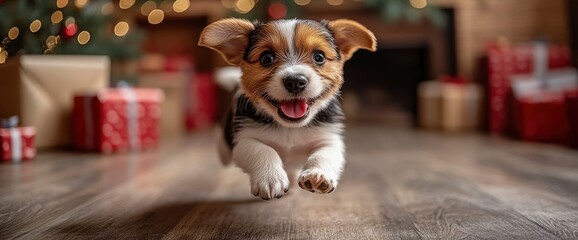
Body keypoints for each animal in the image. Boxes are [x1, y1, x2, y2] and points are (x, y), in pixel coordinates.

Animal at [200, 17, 376, 200]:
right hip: (225, 149)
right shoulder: (244, 140)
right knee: (223, 149)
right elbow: (263, 150)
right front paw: (271, 178)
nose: (295, 81)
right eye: (266, 58)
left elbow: (323, 154)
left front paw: (317, 174)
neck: (290, 127)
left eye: (319, 57)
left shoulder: (329, 139)